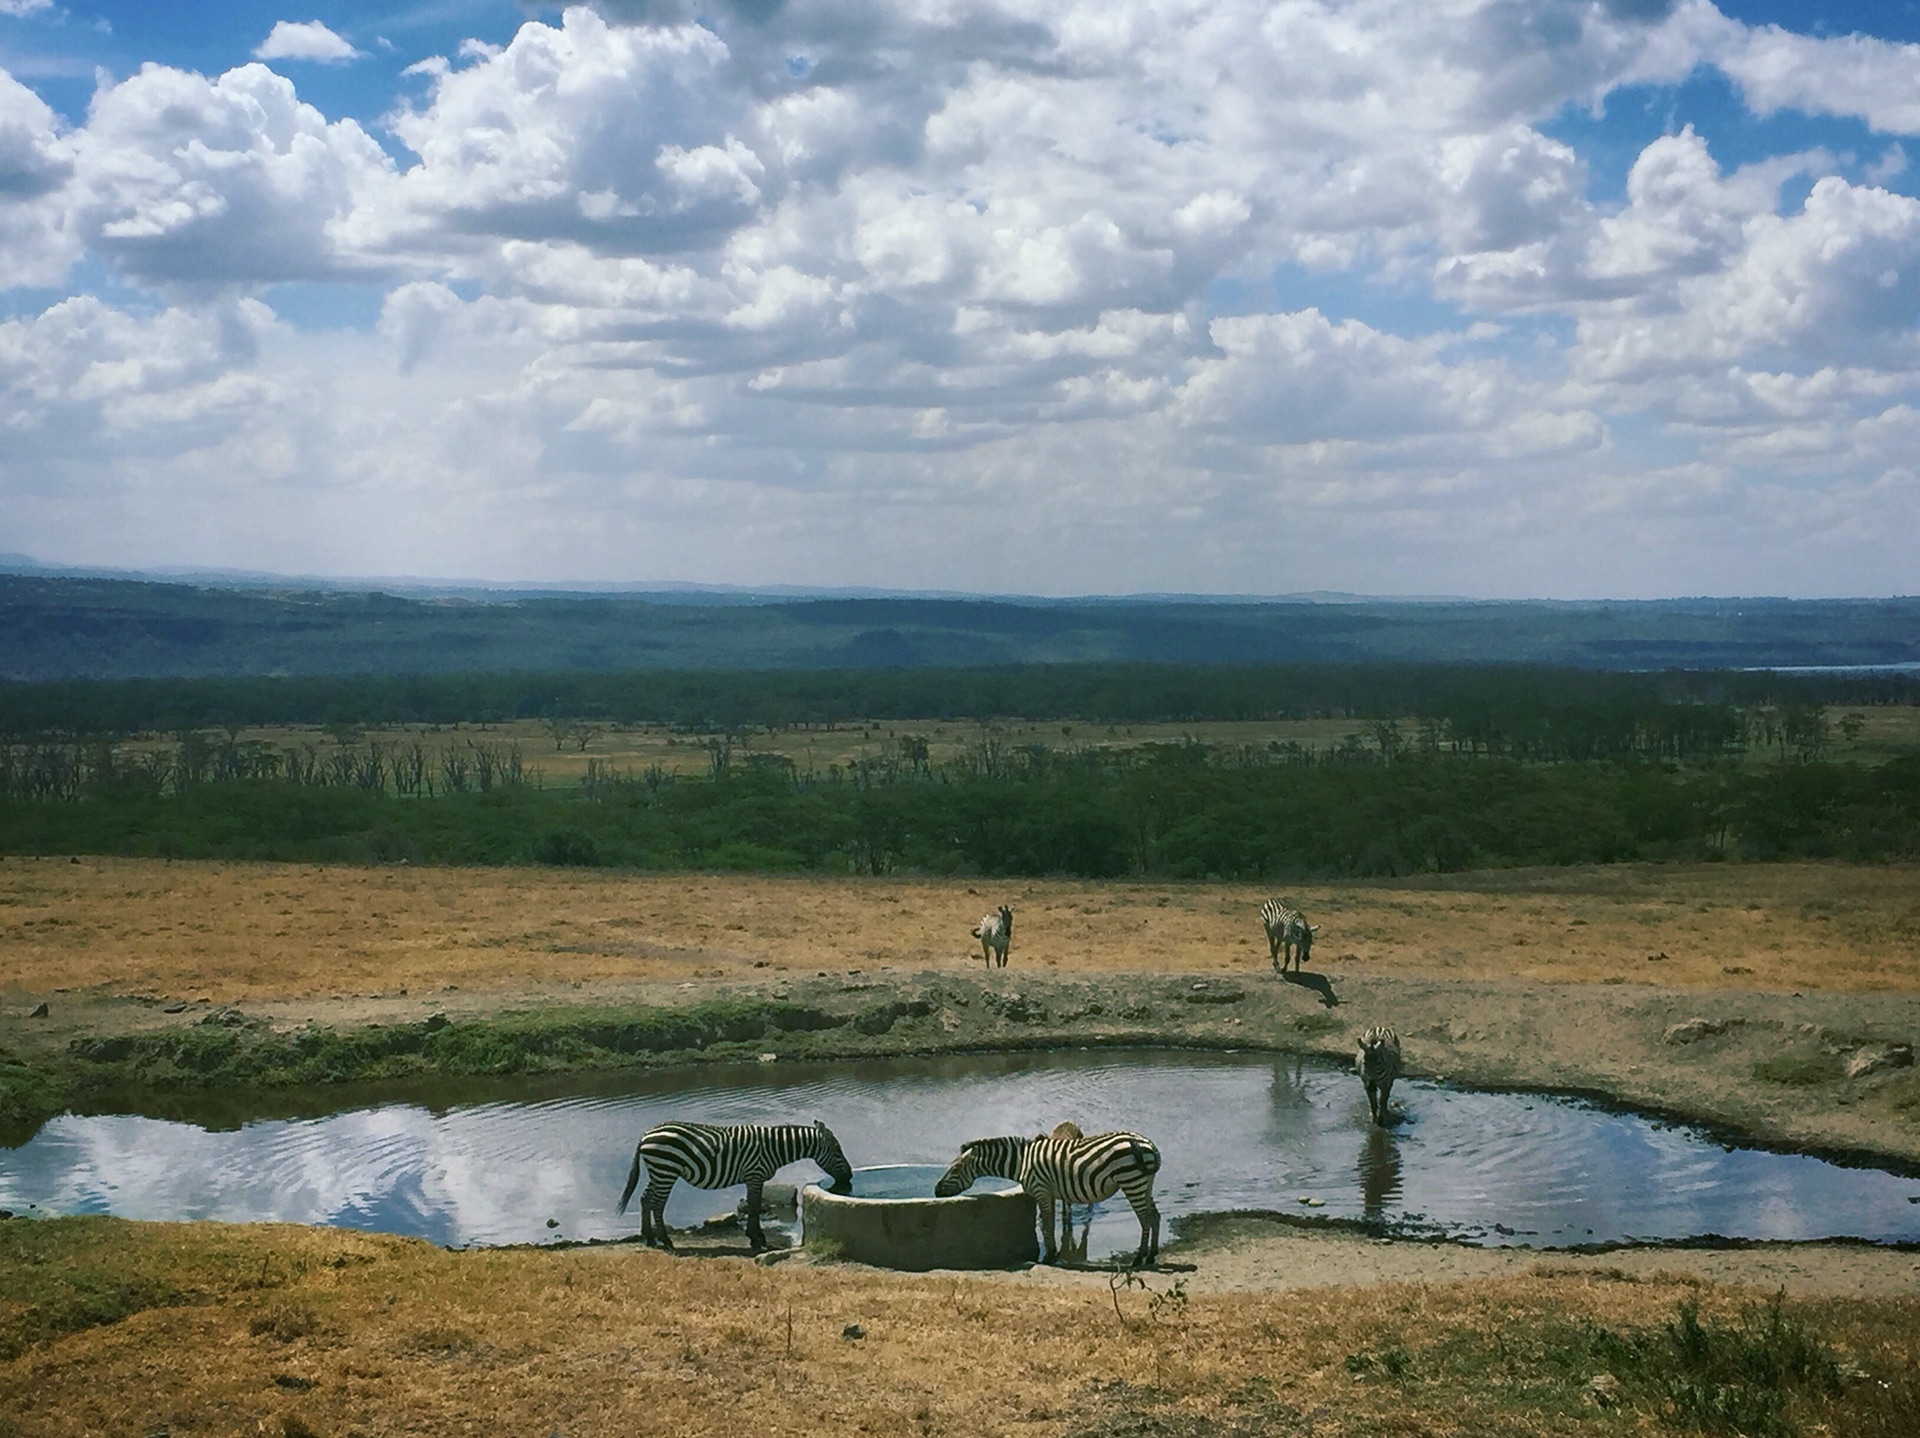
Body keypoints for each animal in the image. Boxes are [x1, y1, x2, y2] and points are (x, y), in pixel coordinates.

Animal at [614, 1113, 856, 1251]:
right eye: (837, 1150)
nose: (850, 1178)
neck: (774, 1148)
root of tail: (646, 1134)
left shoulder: (754, 1178)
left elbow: (753, 1207)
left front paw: (756, 1237)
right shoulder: (755, 1175)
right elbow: (755, 1207)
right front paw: (757, 1240)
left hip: (659, 1171)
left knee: (646, 1199)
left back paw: (649, 1239)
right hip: (666, 1171)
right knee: (657, 1203)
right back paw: (665, 1241)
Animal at [936, 1121, 1159, 1259]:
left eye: (955, 1168)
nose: (936, 1190)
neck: (1023, 1162)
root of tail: (1148, 1144)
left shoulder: (1041, 1190)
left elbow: (1047, 1225)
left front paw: (1049, 1256)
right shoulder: (1049, 1192)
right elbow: (1048, 1224)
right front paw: (1053, 1253)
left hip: (1131, 1181)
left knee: (1145, 1218)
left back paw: (1139, 1258)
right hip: (1145, 1183)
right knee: (1154, 1217)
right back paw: (1152, 1255)